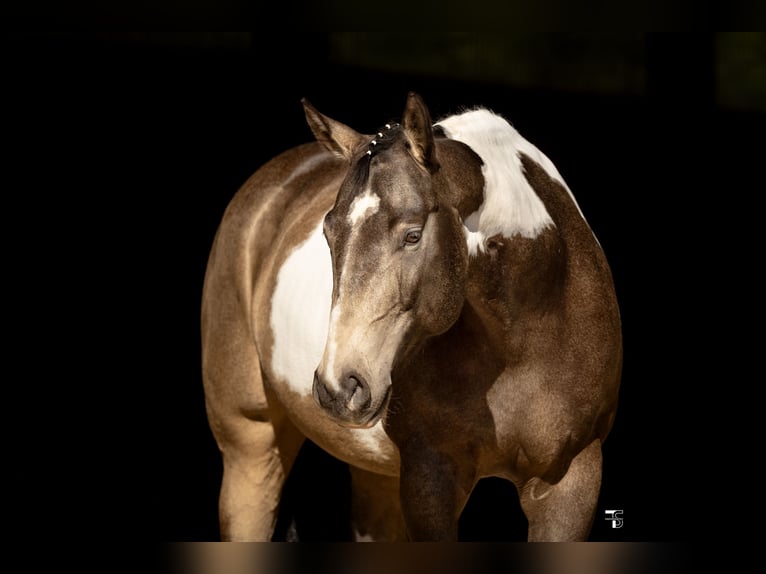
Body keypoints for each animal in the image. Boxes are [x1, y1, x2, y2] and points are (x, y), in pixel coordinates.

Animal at [201, 92, 622, 541]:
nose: (338, 388)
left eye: (413, 235)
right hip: (250, 449)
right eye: (329, 234)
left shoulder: (571, 481)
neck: (527, 337)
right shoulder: (429, 480)